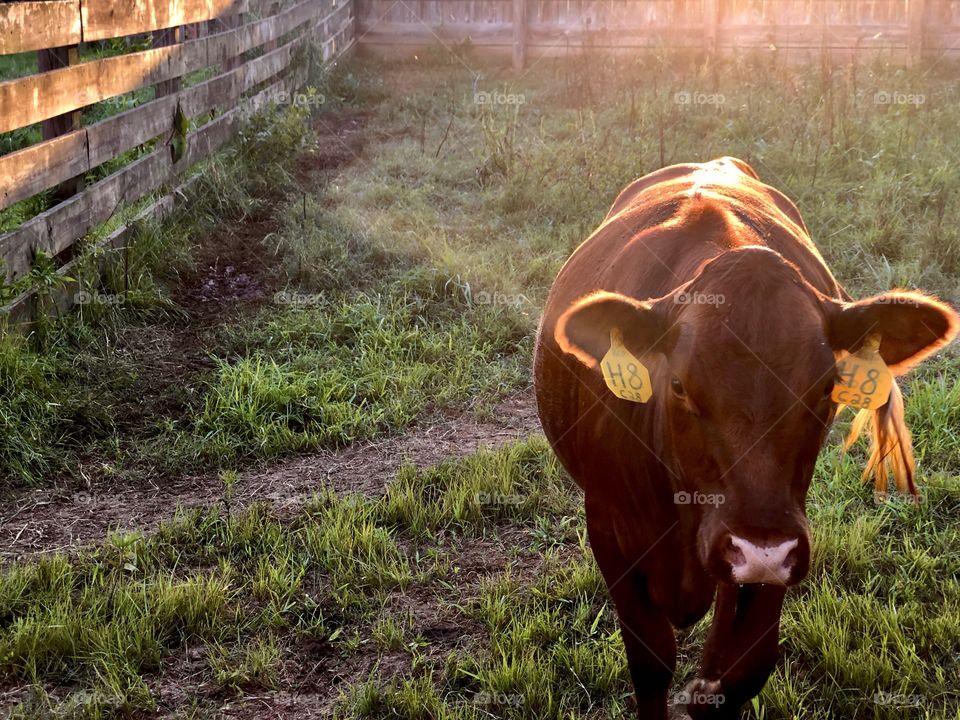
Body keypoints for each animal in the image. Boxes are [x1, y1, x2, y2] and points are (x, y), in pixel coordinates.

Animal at [533, 157, 959, 719]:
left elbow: (743, 670)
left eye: (827, 388)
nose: (758, 549)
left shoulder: (786, 535)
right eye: (677, 385)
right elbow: (650, 663)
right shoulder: (608, 528)